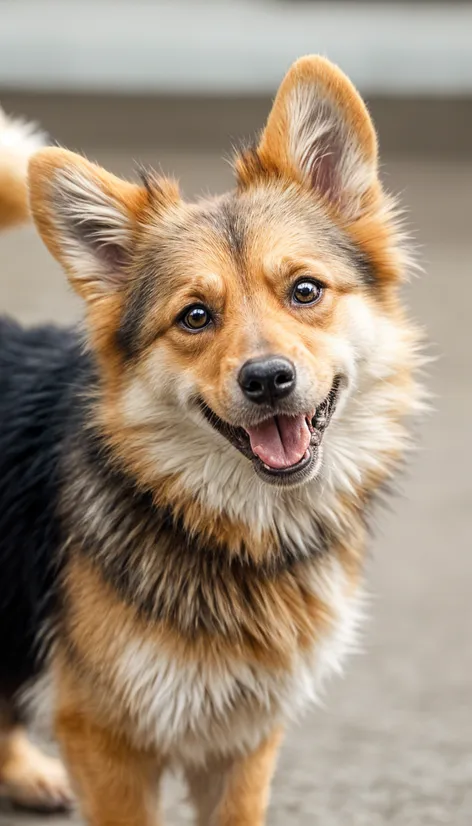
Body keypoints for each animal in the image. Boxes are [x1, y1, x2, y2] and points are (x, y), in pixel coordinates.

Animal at [0, 54, 420, 820]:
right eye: (194, 316)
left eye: (305, 291)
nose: (269, 380)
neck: (237, 528)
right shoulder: (107, 738)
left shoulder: (243, 737)